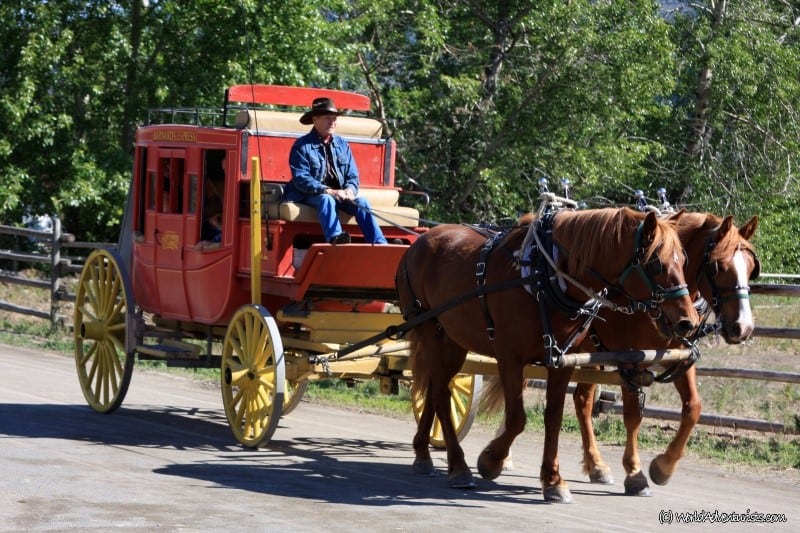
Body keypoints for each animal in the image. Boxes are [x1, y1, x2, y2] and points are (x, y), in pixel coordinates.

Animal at [396, 206, 696, 500]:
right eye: (656, 263)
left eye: (683, 261)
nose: (688, 322)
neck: (545, 276)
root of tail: (420, 243)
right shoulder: (510, 357)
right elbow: (516, 418)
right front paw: (491, 460)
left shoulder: (563, 360)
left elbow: (553, 417)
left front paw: (553, 480)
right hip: (429, 331)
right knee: (440, 394)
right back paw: (458, 467)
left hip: (454, 342)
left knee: (435, 389)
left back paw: (423, 454)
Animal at [484, 211, 760, 494]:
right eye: (718, 266)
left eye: (751, 268)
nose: (743, 327)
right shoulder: (631, 359)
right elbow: (633, 416)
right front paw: (636, 473)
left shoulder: (679, 357)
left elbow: (693, 408)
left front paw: (664, 466)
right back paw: (504, 457)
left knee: (582, 401)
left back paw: (596, 465)